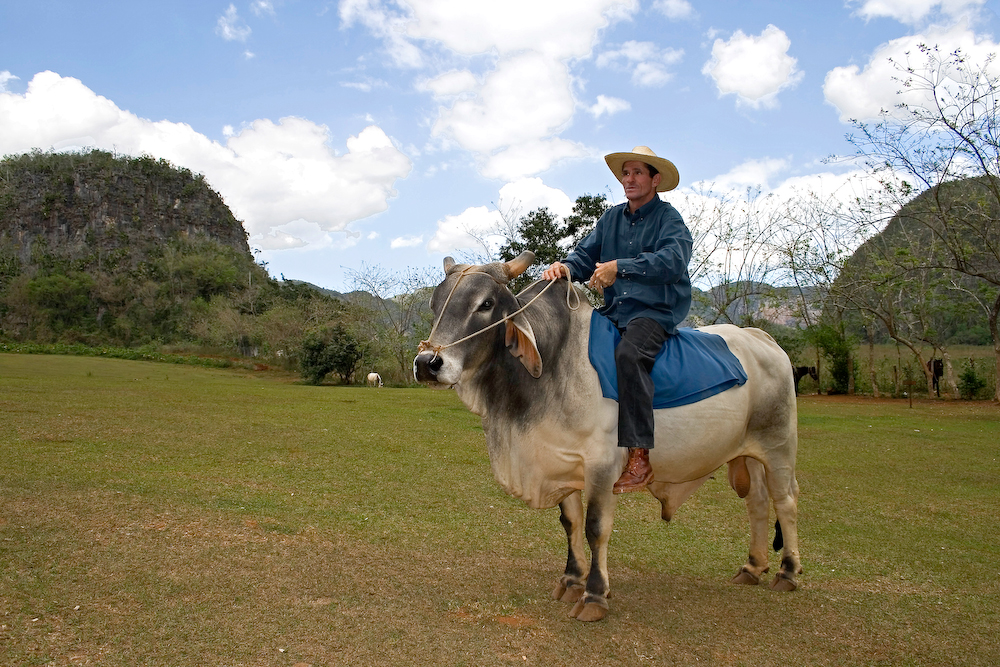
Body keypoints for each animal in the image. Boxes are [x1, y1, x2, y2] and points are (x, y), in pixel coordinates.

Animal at [413, 252, 801, 622]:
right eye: (434, 304)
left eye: (486, 304)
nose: (427, 363)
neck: (553, 365)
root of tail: (762, 338)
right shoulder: (562, 462)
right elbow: (570, 522)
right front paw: (572, 580)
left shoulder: (602, 466)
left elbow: (595, 527)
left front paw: (595, 595)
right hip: (747, 453)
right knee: (758, 503)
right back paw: (752, 566)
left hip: (779, 448)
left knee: (785, 502)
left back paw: (788, 572)